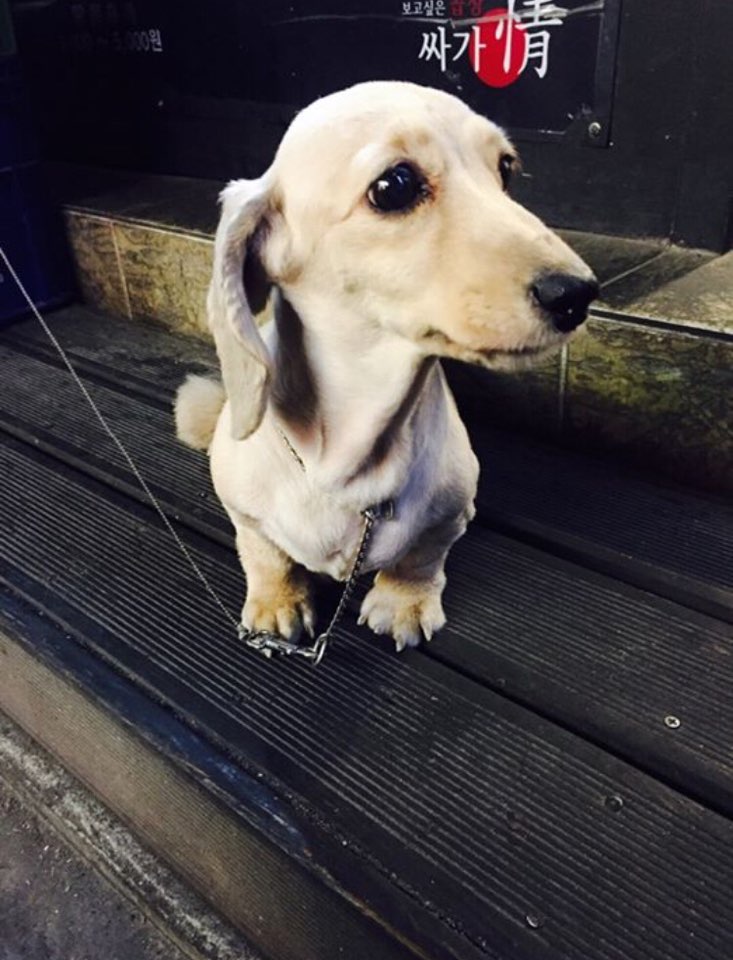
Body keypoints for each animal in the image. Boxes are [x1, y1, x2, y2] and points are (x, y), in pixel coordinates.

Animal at [175, 81, 597, 652]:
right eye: (395, 185)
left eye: (506, 168)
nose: (577, 295)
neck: (349, 472)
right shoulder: (243, 508)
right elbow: (264, 550)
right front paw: (276, 601)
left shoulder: (452, 511)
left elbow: (422, 556)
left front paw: (403, 602)